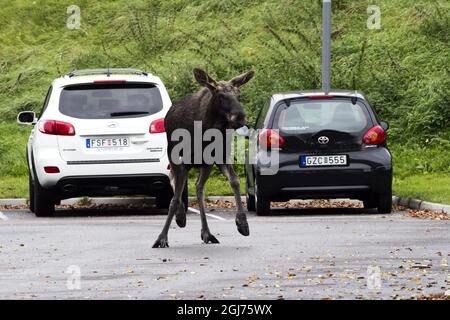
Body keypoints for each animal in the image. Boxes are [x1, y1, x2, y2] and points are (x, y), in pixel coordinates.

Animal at [154, 68, 253, 248]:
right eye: (220, 95)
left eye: (239, 95)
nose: (240, 117)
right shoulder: (183, 161)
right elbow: (176, 197)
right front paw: (162, 238)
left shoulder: (216, 157)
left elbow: (234, 181)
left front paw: (242, 223)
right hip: (173, 156)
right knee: (174, 180)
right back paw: (181, 216)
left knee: (199, 187)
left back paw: (206, 232)